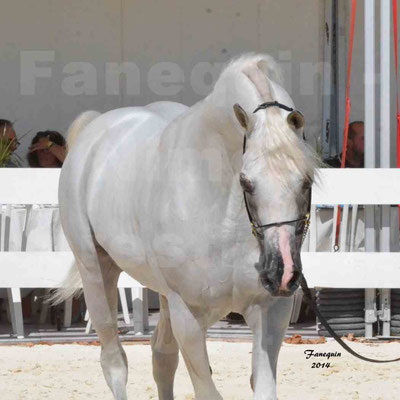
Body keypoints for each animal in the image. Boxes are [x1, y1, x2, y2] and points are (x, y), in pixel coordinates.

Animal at [57, 54, 318, 400]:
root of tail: (95, 129)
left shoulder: (271, 309)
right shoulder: (189, 314)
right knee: (114, 362)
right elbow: (205, 388)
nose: (282, 273)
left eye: (306, 180)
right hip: (97, 273)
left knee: (162, 357)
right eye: (246, 182)